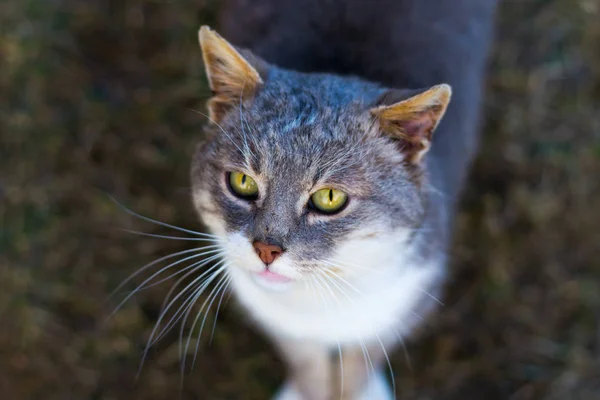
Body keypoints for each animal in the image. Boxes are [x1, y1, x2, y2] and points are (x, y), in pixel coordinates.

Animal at [191, 1, 496, 398]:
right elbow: (306, 362)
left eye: (329, 197)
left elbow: (359, 363)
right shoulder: (277, 318)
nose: (265, 250)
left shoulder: (403, 300)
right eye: (242, 182)